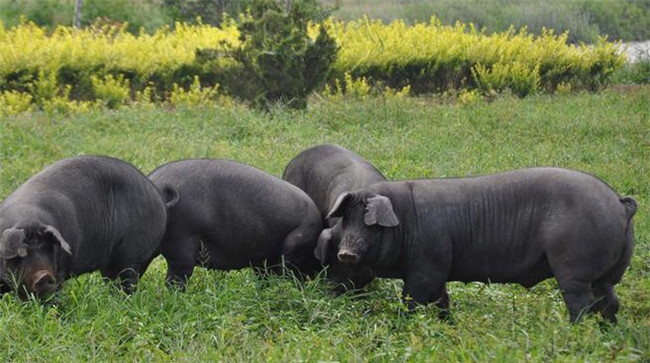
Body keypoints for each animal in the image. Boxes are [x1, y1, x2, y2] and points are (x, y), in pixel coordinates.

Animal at [0, 156, 167, 298]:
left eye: (47, 248)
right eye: (22, 253)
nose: (44, 276)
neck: (27, 218)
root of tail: (158, 197)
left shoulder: (60, 271)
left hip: (132, 254)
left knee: (128, 280)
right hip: (110, 262)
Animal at [326, 168, 636, 324]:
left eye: (371, 224)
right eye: (347, 220)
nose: (345, 253)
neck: (406, 219)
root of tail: (620, 203)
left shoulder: (426, 266)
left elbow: (413, 300)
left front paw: (402, 325)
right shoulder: (439, 268)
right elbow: (442, 300)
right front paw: (448, 326)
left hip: (573, 267)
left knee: (581, 303)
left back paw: (575, 331)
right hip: (607, 273)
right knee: (610, 300)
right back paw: (607, 332)